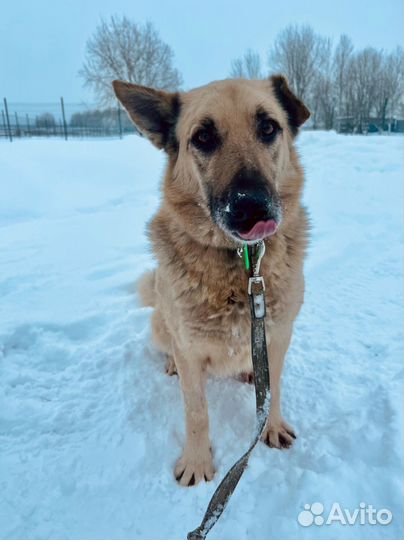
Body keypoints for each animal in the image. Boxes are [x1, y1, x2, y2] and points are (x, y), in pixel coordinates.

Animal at [113, 76, 310, 486]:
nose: (252, 207)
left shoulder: (279, 336)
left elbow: (274, 389)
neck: (244, 264)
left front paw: (271, 426)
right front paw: (198, 462)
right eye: (203, 137)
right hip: (161, 323)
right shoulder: (189, 351)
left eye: (269, 127)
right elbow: (197, 412)